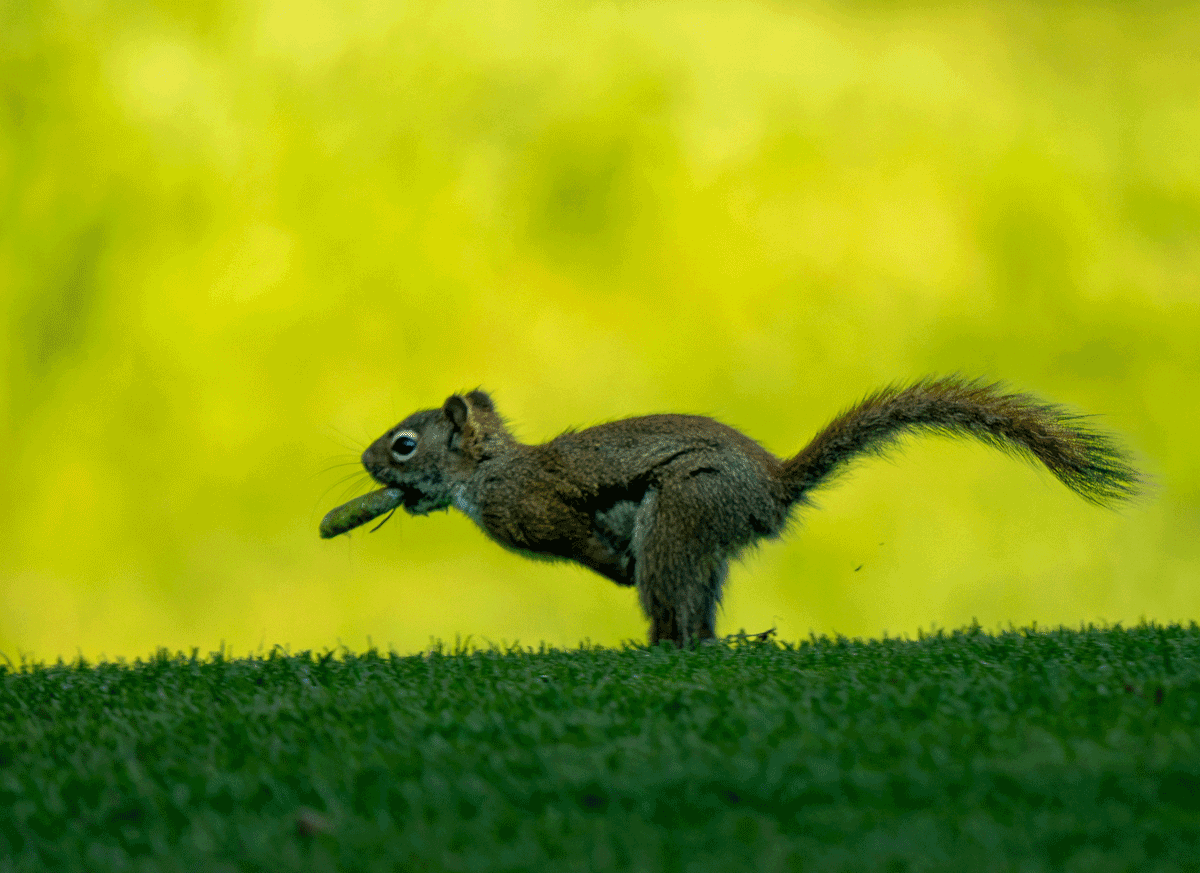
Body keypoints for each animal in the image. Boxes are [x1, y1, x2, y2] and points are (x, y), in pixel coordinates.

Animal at [343, 376, 1142, 647]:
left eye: (405, 445)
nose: (366, 461)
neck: (490, 472)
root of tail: (771, 486)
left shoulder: (540, 510)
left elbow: (585, 540)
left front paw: (609, 563)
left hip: (681, 513)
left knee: (669, 598)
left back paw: (658, 644)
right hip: (706, 544)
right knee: (700, 611)